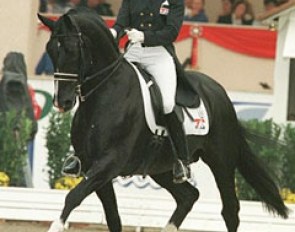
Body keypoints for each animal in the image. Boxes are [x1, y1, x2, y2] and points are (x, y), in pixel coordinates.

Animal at [38, 7, 290, 232]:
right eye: (50, 50)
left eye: (72, 49)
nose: (63, 102)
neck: (105, 93)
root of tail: (219, 92)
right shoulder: (95, 167)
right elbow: (113, 217)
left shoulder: (110, 163)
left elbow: (73, 196)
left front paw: (56, 226)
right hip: (162, 168)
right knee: (189, 196)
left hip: (221, 161)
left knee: (230, 210)